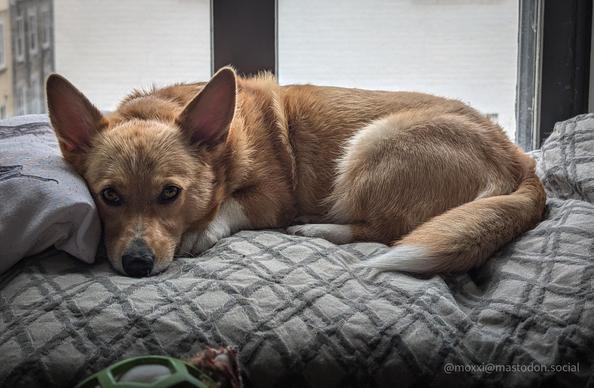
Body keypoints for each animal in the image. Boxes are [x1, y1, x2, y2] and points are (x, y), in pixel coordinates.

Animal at [46, 68, 544, 278]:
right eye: (109, 196)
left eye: (170, 193)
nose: (136, 266)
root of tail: (523, 162)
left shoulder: (271, 199)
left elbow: (230, 206)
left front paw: (200, 232)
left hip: (371, 147)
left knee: (384, 232)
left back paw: (314, 229)